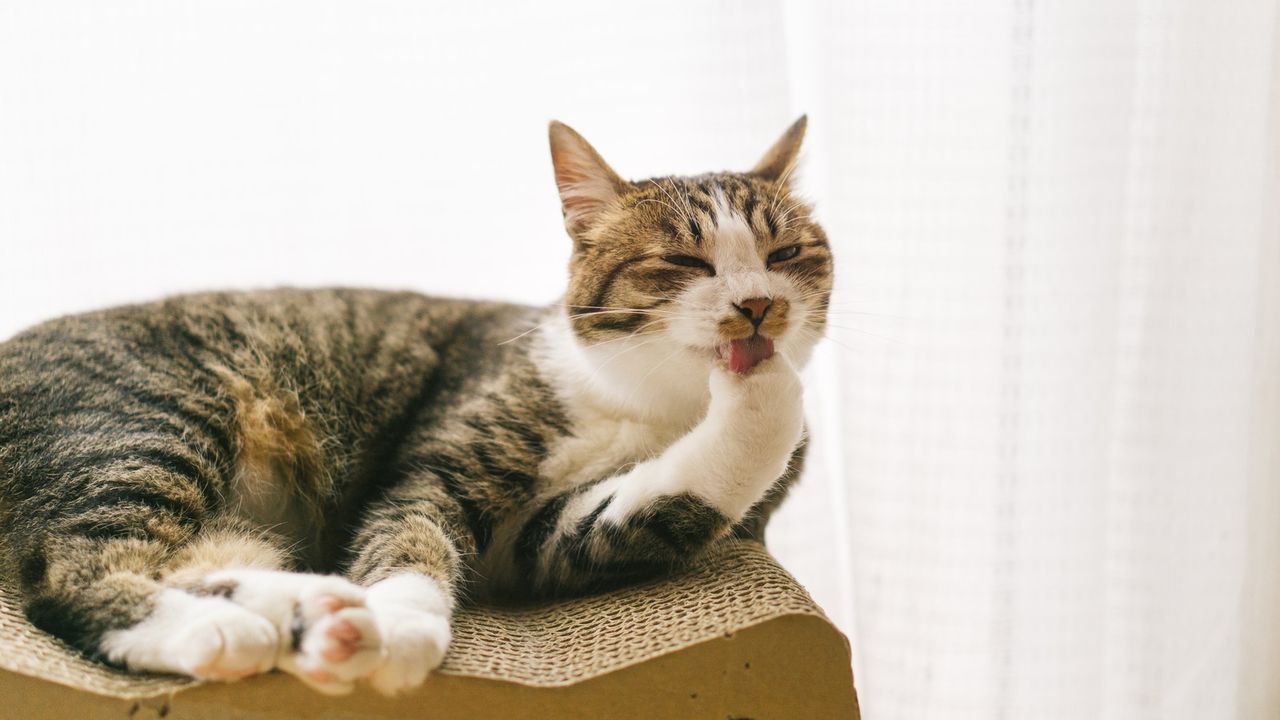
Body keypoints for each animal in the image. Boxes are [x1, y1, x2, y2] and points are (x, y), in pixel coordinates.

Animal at [0, 117, 829, 696]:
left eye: (787, 254)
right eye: (683, 261)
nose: (757, 306)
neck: (655, 405)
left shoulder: (542, 543)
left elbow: (662, 497)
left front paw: (768, 385)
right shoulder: (446, 453)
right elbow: (410, 533)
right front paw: (399, 631)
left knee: (194, 560)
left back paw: (317, 612)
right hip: (154, 419)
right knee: (70, 575)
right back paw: (225, 628)